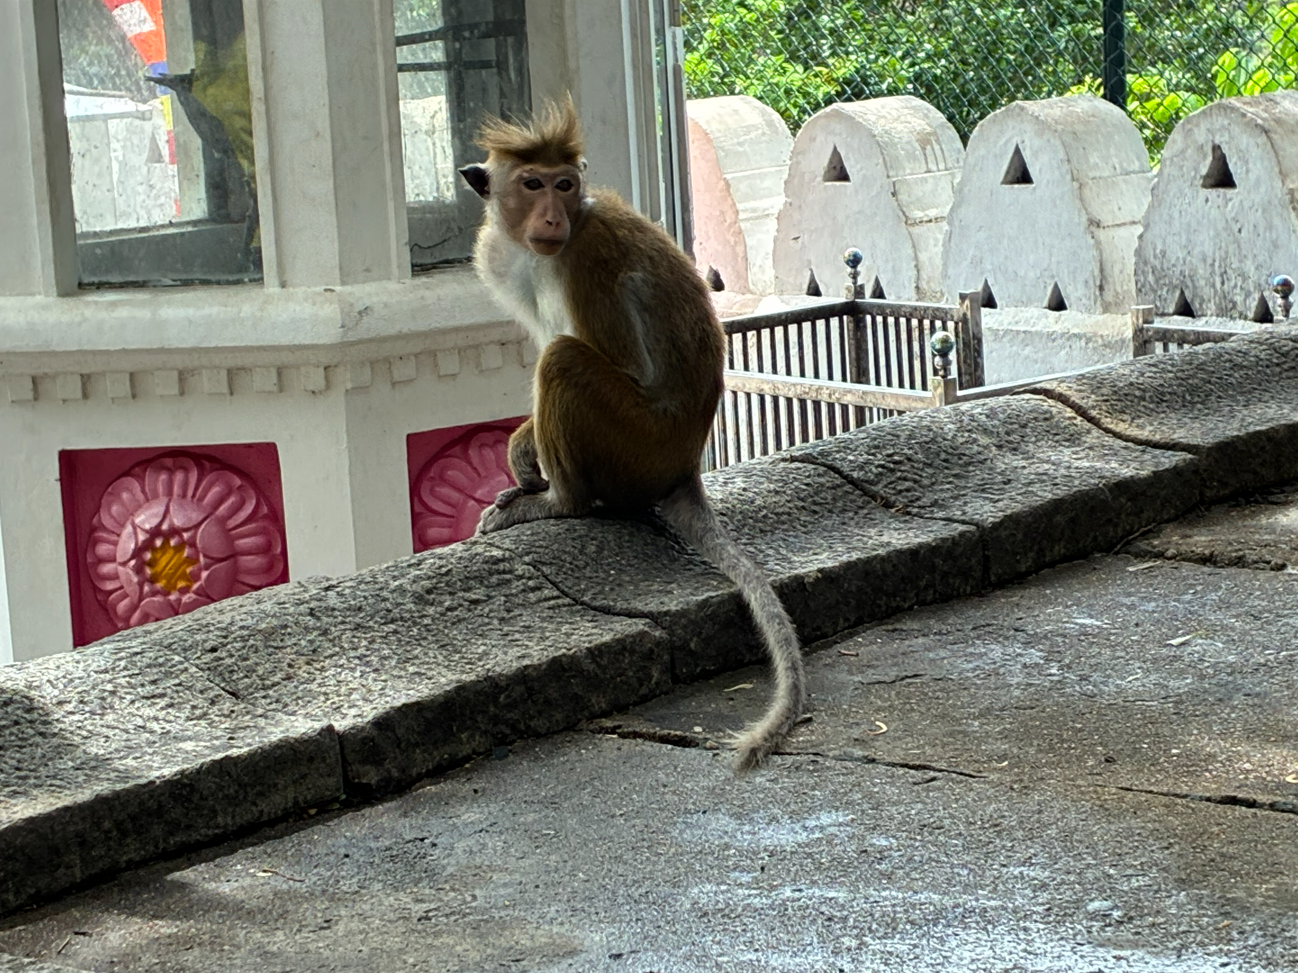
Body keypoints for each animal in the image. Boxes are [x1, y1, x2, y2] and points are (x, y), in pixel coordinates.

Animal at [459, 99, 805, 770]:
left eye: (565, 185)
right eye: (532, 183)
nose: (552, 214)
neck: (541, 251)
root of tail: (686, 464)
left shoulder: (586, 256)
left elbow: (609, 355)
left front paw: (531, 465)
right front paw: (520, 448)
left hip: (635, 443)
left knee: (564, 360)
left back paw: (559, 502)